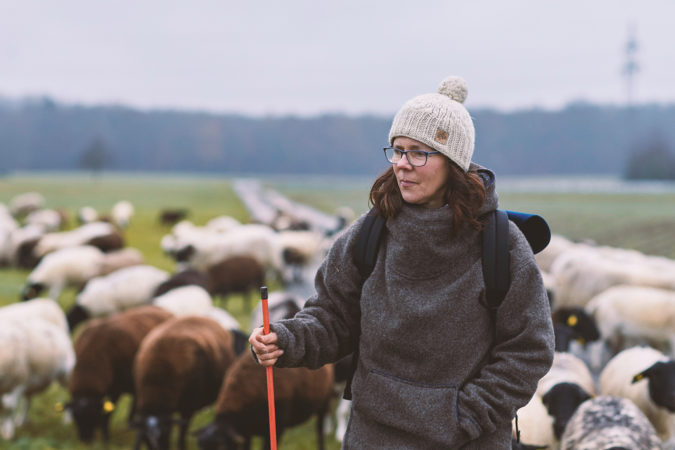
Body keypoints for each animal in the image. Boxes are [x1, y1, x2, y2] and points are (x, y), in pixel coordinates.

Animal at [66, 302, 174, 442]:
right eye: (75, 417)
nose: (85, 440)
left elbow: (106, 417)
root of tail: (163, 310)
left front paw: (105, 440)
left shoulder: (115, 389)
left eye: (93, 415)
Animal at [194, 352, 334, 450]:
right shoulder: (246, 432)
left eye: (222, 446)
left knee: (320, 432)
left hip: (324, 404)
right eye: (200, 446)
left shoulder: (277, 428)